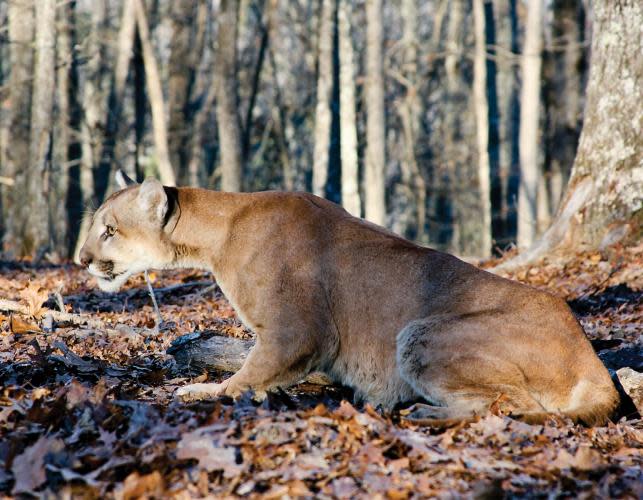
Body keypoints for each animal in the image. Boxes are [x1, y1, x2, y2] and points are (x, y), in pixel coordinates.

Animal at [78, 173, 620, 426]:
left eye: (109, 230)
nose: (82, 259)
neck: (217, 230)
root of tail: (586, 351)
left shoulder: (297, 332)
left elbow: (246, 376)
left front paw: (203, 390)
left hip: (420, 332)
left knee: (508, 406)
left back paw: (419, 413)